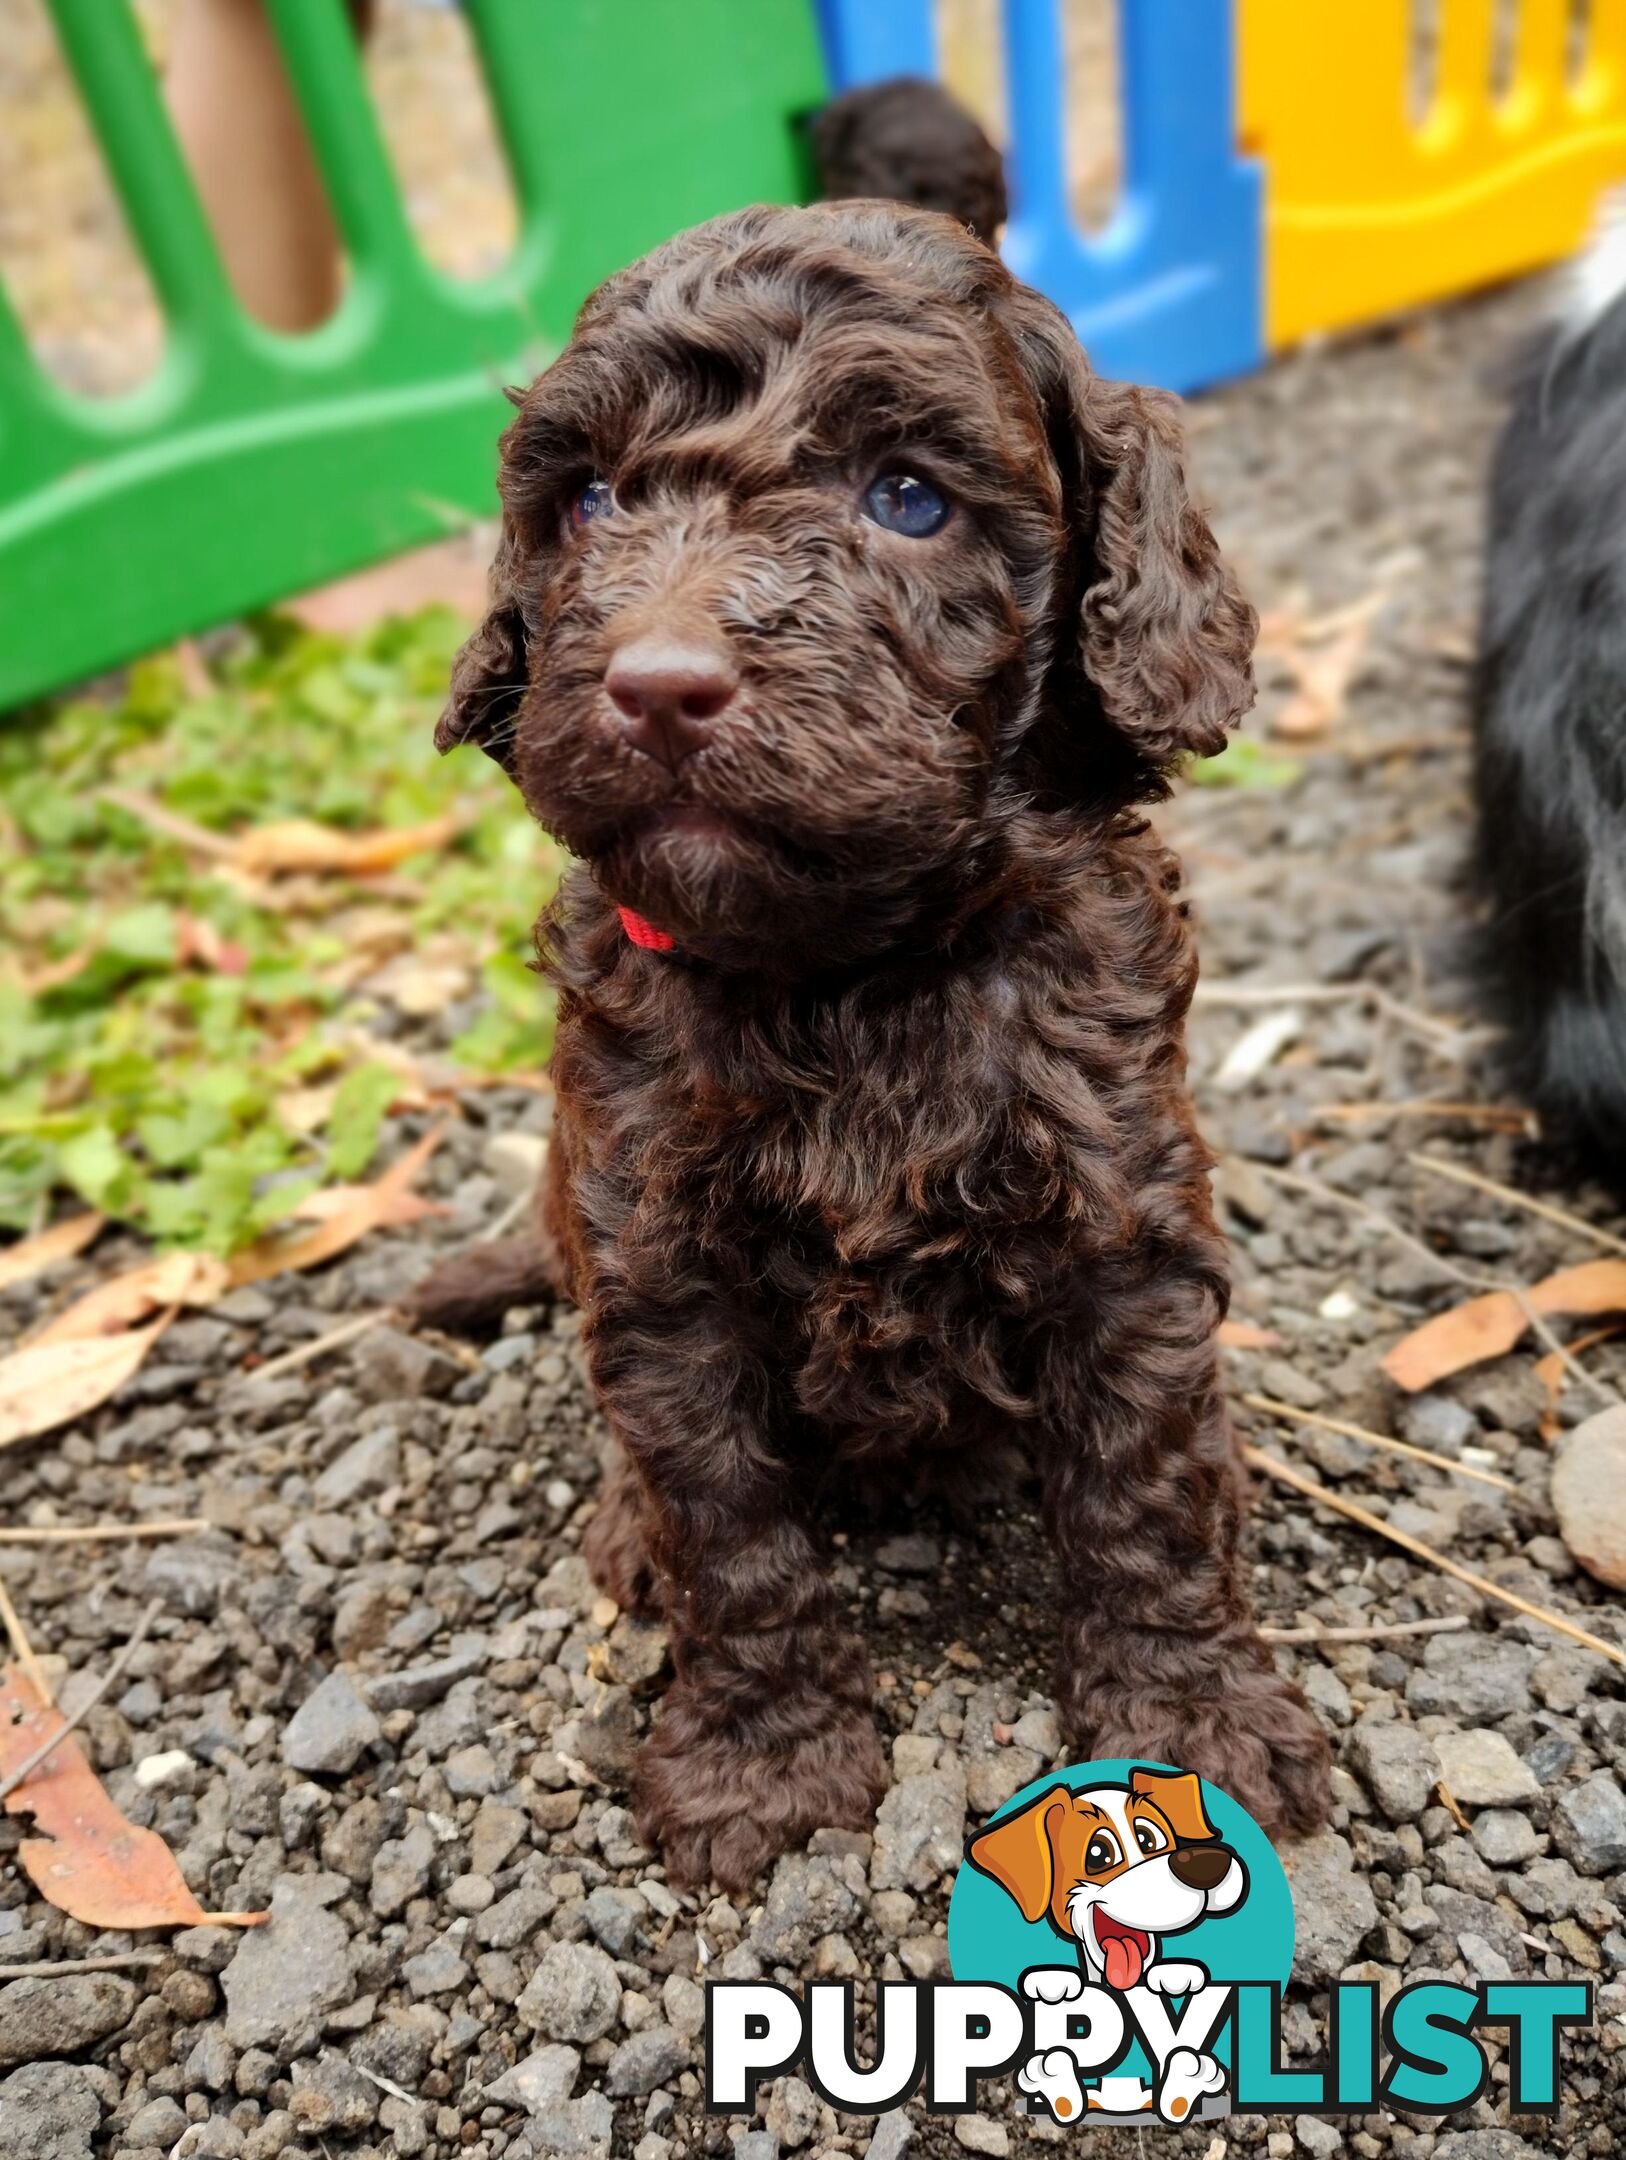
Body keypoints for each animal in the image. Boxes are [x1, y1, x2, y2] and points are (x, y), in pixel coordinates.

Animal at [421, 206, 1330, 1892]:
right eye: (586, 499)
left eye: (906, 498)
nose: (655, 686)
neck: (851, 977)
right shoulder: (660, 1270)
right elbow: (728, 1528)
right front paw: (763, 1760)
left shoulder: (1121, 1225)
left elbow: (1145, 1491)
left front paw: (1189, 1726)